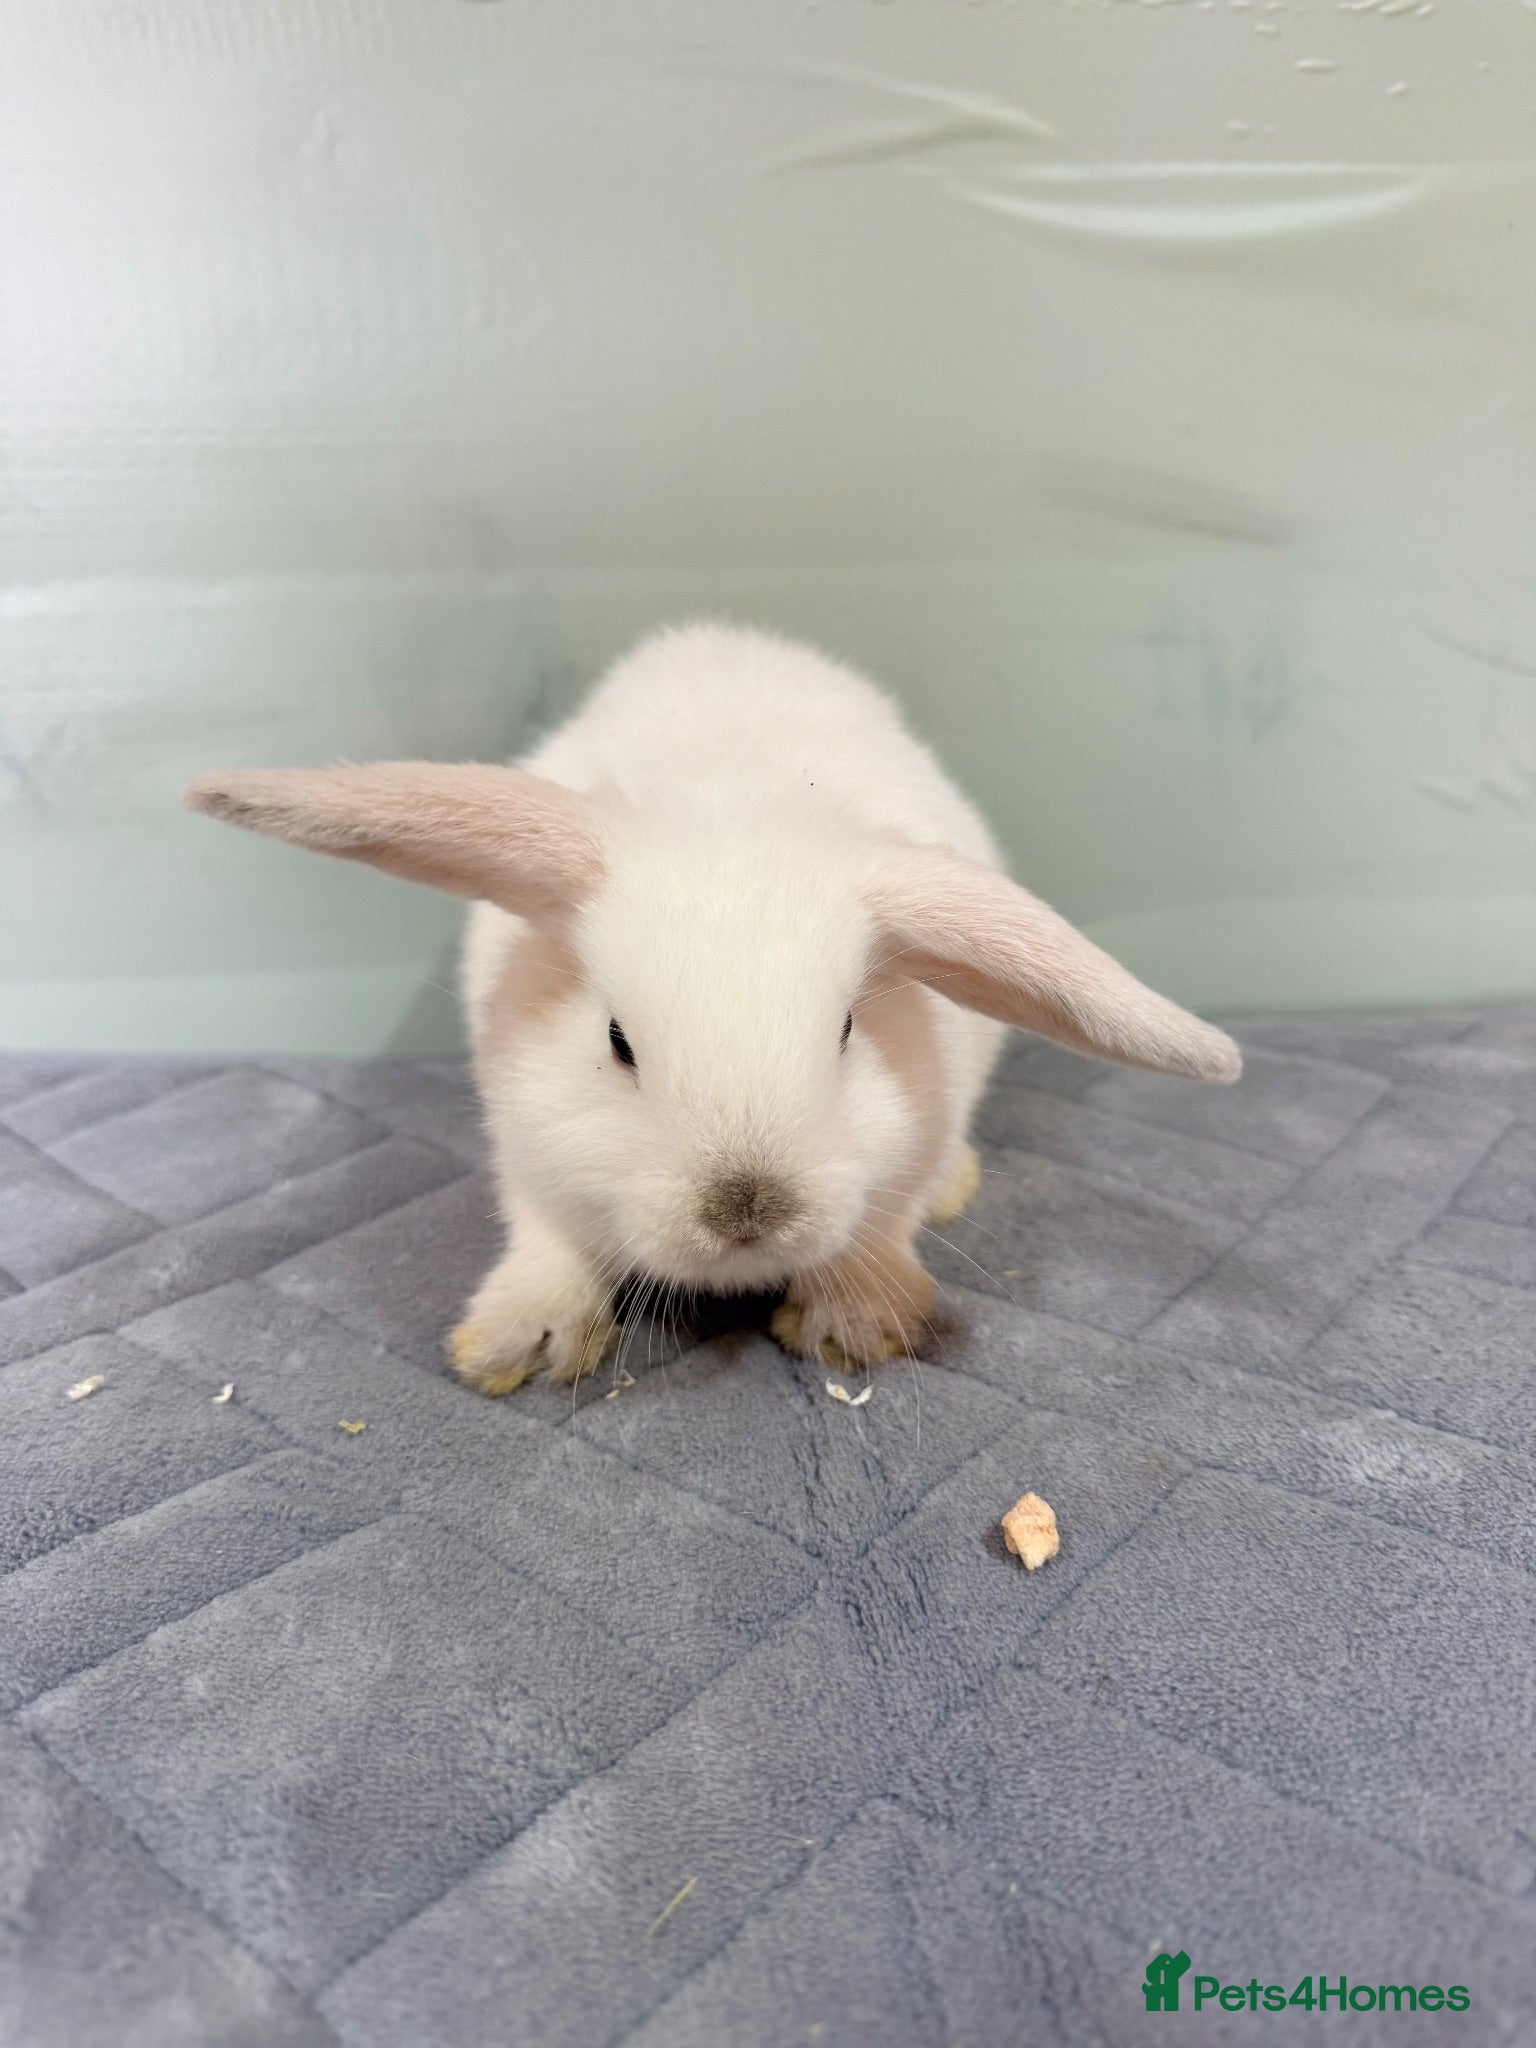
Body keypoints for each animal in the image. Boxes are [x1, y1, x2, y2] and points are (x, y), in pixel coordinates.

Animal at [187, 621, 1240, 1394]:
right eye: (617, 1041)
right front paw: (518, 1345)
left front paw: (853, 1325)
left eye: (848, 1030)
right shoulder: (527, 1151)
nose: (746, 1210)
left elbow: (886, 1221)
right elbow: (546, 1237)